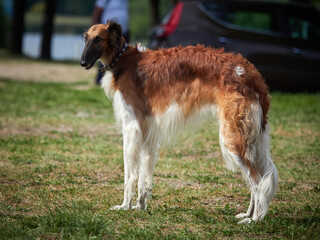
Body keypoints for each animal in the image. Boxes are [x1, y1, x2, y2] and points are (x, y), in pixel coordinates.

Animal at [80, 20, 278, 223]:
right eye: (86, 37)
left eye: (99, 39)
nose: (83, 62)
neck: (124, 61)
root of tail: (249, 72)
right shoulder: (147, 133)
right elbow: (144, 176)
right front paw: (140, 206)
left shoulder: (131, 129)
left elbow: (130, 175)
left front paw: (124, 206)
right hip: (252, 139)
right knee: (258, 180)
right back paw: (247, 214)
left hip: (233, 138)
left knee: (257, 181)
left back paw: (253, 220)